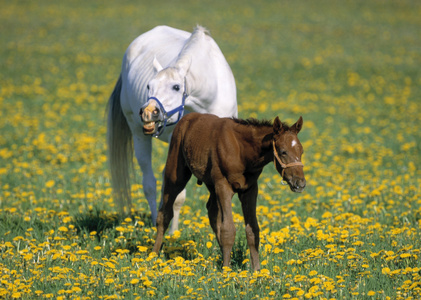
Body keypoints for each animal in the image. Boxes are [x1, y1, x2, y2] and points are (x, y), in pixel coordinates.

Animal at [106, 25, 238, 232]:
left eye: (176, 87)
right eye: (149, 86)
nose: (147, 112)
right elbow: (178, 193)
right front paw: (173, 233)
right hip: (138, 135)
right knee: (150, 183)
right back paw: (157, 222)